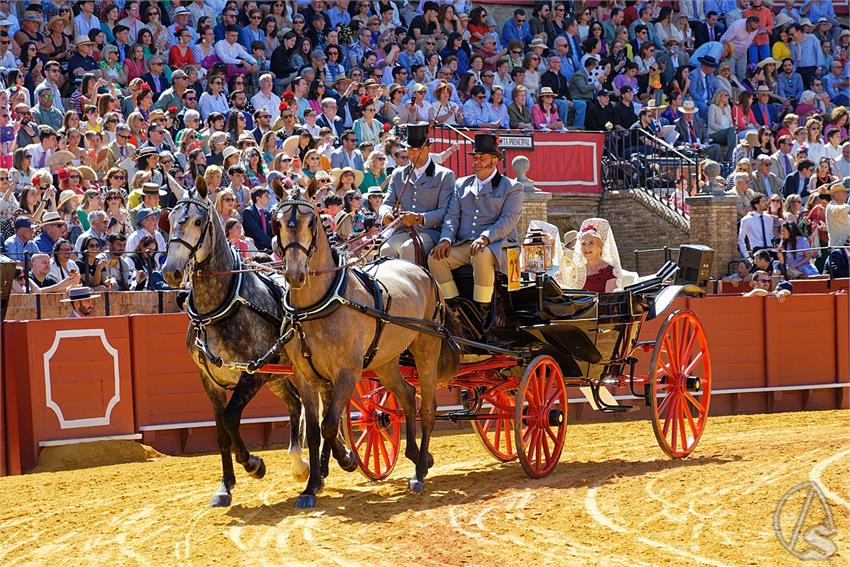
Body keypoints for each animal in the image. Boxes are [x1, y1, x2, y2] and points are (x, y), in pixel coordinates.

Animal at [161, 184, 310, 508]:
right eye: (170, 220)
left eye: (198, 222)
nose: (171, 271)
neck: (221, 305)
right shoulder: (209, 379)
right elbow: (220, 429)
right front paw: (225, 486)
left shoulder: (253, 374)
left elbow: (230, 419)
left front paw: (254, 464)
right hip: (279, 376)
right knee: (297, 402)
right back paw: (300, 465)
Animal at [274, 187, 458, 510]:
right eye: (279, 222)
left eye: (312, 222)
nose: (295, 275)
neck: (316, 306)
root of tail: (422, 271)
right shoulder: (305, 376)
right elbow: (314, 431)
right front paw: (310, 487)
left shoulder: (348, 373)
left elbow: (330, 424)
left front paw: (347, 459)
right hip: (385, 361)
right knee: (407, 395)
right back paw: (415, 454)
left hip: (426, 348)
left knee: (428, 407)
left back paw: (419, 471)